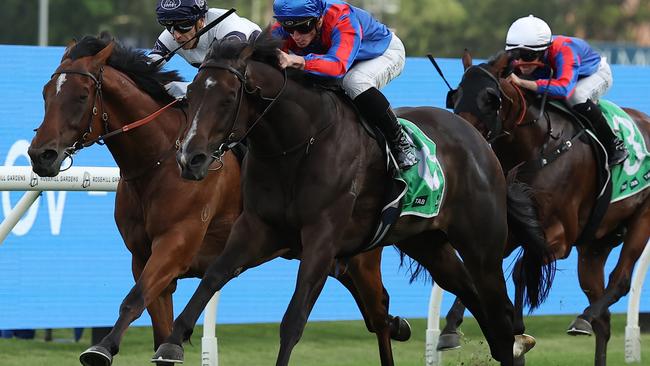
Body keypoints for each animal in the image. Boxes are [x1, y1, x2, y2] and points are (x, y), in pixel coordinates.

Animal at [29, 34, 410, 366]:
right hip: (335, 259)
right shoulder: (143, 256)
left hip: (354, 254)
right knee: (377, 313)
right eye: (46, 93)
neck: (159, 161)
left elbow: (134, 298)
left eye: (81, 95)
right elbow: (156, 322)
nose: (40, 155)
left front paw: (102, 348)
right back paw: (400, 325)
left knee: (378, 313)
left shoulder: (176, 244)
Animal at [151, 35, 552, 366]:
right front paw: (172, 342)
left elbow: (293, 320)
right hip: (428, 243)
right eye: (191, 95)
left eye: (227, 98)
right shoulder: (257, 226)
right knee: (471, 295)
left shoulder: (322, 237)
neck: (297, 143)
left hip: (482, 244)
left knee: (497, 310)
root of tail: (480, 141)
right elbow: (213, 277)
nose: (189, 159)